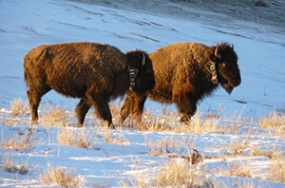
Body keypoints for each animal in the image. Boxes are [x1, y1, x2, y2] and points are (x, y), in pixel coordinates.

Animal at [23, 41, 154, 129]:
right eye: (147, 71)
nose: (152, 86)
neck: (122, 67)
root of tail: (28, 56)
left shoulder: (88, 96)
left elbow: (82, 110)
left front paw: (80, 125)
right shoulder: (97, 95)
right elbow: (106, 112)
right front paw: (112, 127)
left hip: (45, 86)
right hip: (40, 86)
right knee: (34, 99)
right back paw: (35, 121)